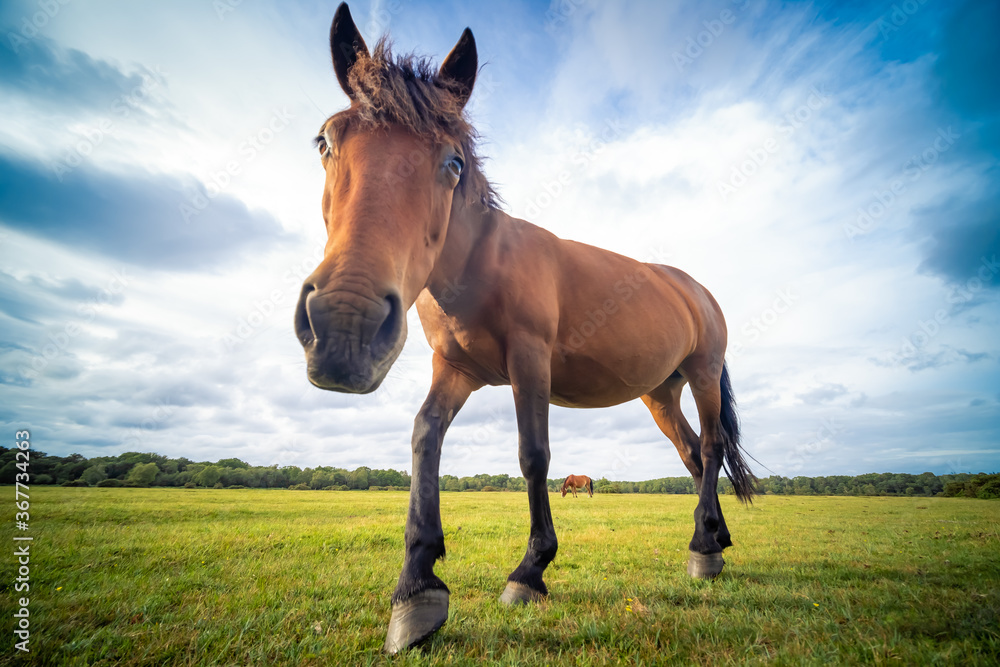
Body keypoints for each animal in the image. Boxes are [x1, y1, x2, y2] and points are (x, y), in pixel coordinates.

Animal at [295, 3, 756, 653]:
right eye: (325, 141)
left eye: (453, 163)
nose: (345, 326)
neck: (480, 263)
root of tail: (697, 291)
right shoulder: (456, 371)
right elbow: (424, 438)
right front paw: (417, 587)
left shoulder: (529, 363)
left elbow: (533, 455)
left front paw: (529, 572)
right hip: (660, 393)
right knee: (693, 456)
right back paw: (713, 538)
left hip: (703, 374)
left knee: (711, 448)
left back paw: (703, 549)